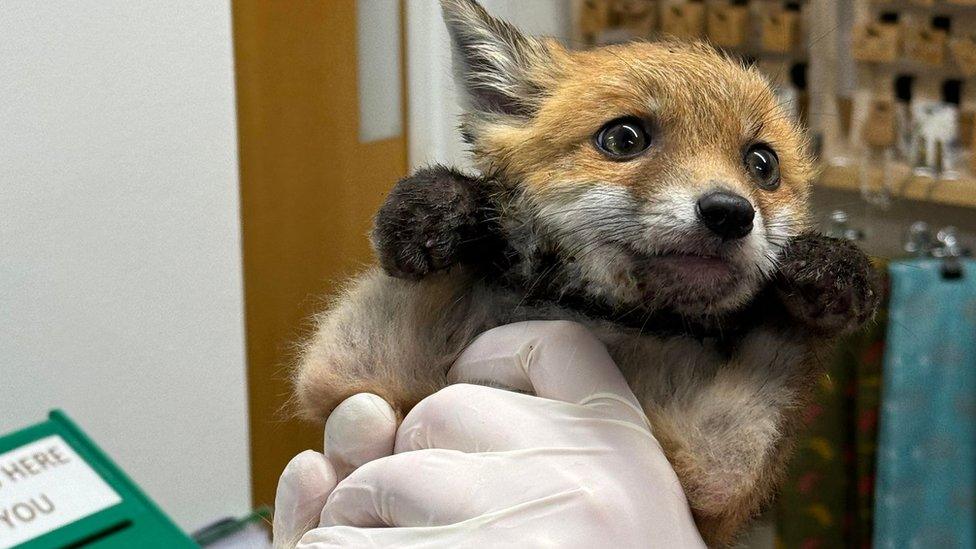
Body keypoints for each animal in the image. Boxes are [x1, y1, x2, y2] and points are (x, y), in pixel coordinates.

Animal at [296, 2, 876, 544]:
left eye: (762, 164)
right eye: (623, 139)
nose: (731, 213)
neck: (598, 317)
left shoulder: (717, 461)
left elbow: (782, 341)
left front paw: (832, 270)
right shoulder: (357, 366)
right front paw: (441, 206)